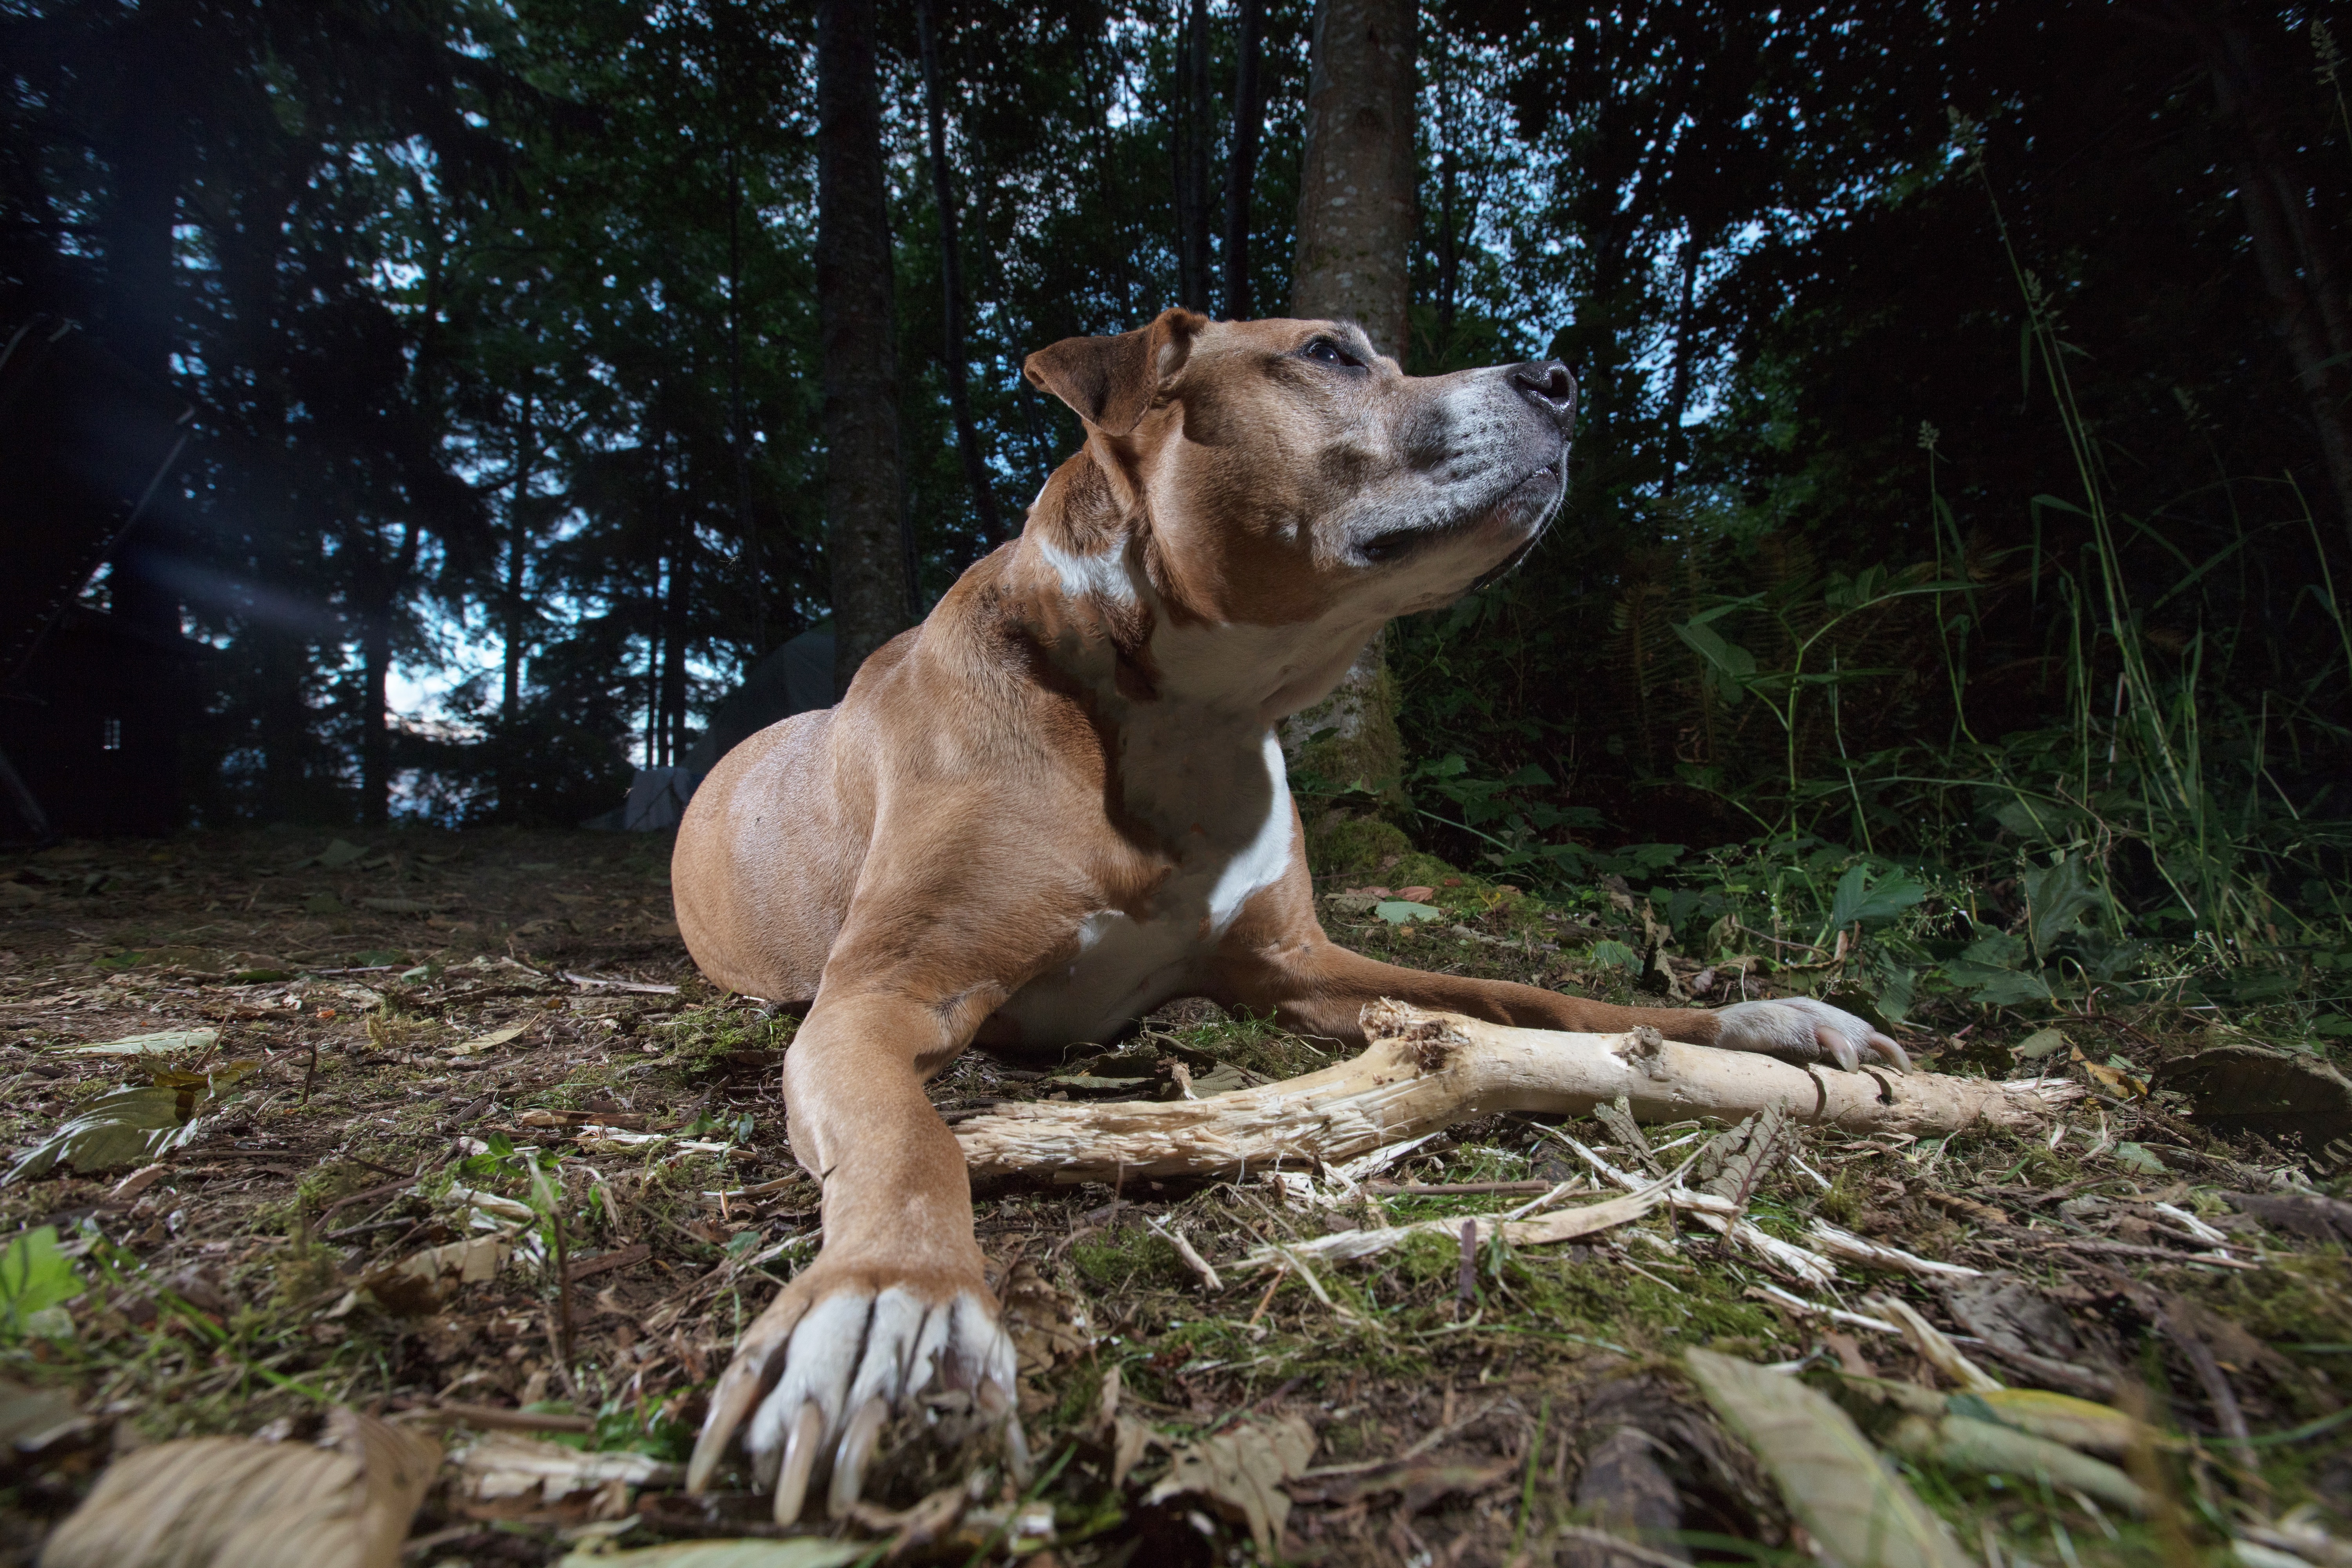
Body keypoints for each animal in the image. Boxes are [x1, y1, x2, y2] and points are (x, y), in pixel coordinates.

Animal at [668, 305, 1910, 1523]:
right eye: (1327, 353)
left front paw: (1757, 1026)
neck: (1192, 710)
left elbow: (1532, 997)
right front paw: (895, 1303)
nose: (1562, 378)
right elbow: (908, 1140)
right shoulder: (884, 996)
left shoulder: (1302, 965)